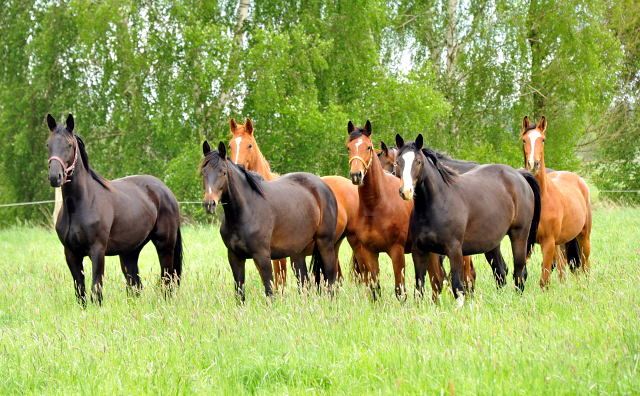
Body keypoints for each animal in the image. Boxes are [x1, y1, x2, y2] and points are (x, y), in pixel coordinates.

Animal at [46, 113, 182, 304]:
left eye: (69, 144)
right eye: (48, 144)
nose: (54, 177)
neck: (78, 206)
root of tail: (166, 191)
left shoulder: (97, 251)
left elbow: (96, 290)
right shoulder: (71, 254)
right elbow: (81, 293)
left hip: (165, 245)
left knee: (167, 280)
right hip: (130, 252)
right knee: (135, 285)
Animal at [200, 141, 340, 298]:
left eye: (223, 172)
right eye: (203, 173)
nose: (209, 204)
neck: (246, 211)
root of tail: (325, 186)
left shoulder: (263, 257)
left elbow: (269, 292)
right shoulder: (235, 257)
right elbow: (240, 294)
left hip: (325, 244)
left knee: (330, 278)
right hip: (298, 252)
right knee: (304, 281)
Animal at [228, 117, 362, 288]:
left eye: (249, 145)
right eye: (230, 145)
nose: (237, 167)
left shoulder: (278, 258)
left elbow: (279, 284)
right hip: (333, 245)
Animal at [396, 134, 540, 304]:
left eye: (418, 161)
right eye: (398, 162)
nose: (406, 191)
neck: (437, 203)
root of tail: (519, 175)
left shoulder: (454, 251)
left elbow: (458, 287)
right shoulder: (419, 251)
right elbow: (419, 288)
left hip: (519, 235)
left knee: (519, 273)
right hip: (492, 243)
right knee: (500, 272)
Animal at [520, 116, 592, 286]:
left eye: (543, 139)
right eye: (524, 140)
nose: (533, 164)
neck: (542, 199)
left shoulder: (548, 243)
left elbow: (544, 280)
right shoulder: (527, 242)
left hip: (583, 237)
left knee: (585, 266)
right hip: (560, 243)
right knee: (562, 269)